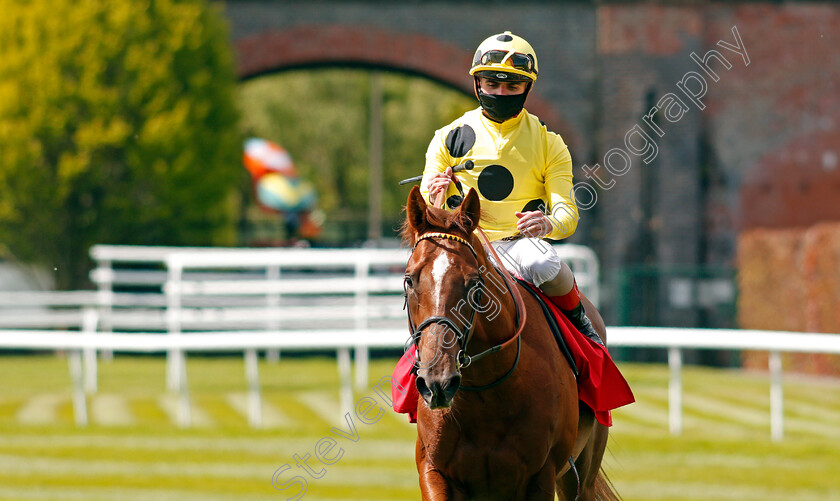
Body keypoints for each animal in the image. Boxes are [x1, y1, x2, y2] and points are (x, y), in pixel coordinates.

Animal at [400, 186, 616, 498]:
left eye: (474, 283)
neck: (486, 392)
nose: (437, 381)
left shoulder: (541, 475)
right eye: (409, 280)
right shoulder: (434, 472)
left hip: (581, 476)